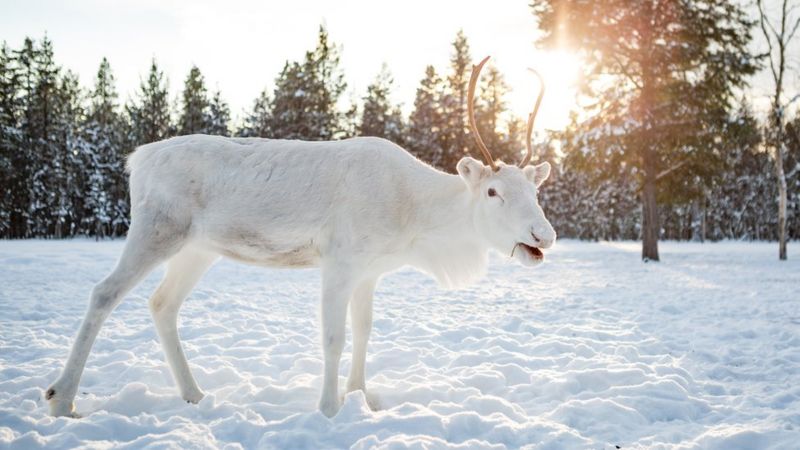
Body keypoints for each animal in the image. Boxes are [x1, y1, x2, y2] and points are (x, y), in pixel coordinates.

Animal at [45, 56, 556, 418]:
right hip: (157, 229)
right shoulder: (340, 259)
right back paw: (61, 398)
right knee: (104, 293)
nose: (544, 234)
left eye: (535, 190)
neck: (415, 221)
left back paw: (194, 394)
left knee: (162, 303)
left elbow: (364, 330)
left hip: (198, 248)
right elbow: (333, 336)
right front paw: (329, 409)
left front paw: (361, 397)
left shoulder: (371, 271)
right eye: (492, 190)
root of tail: (137, 159)